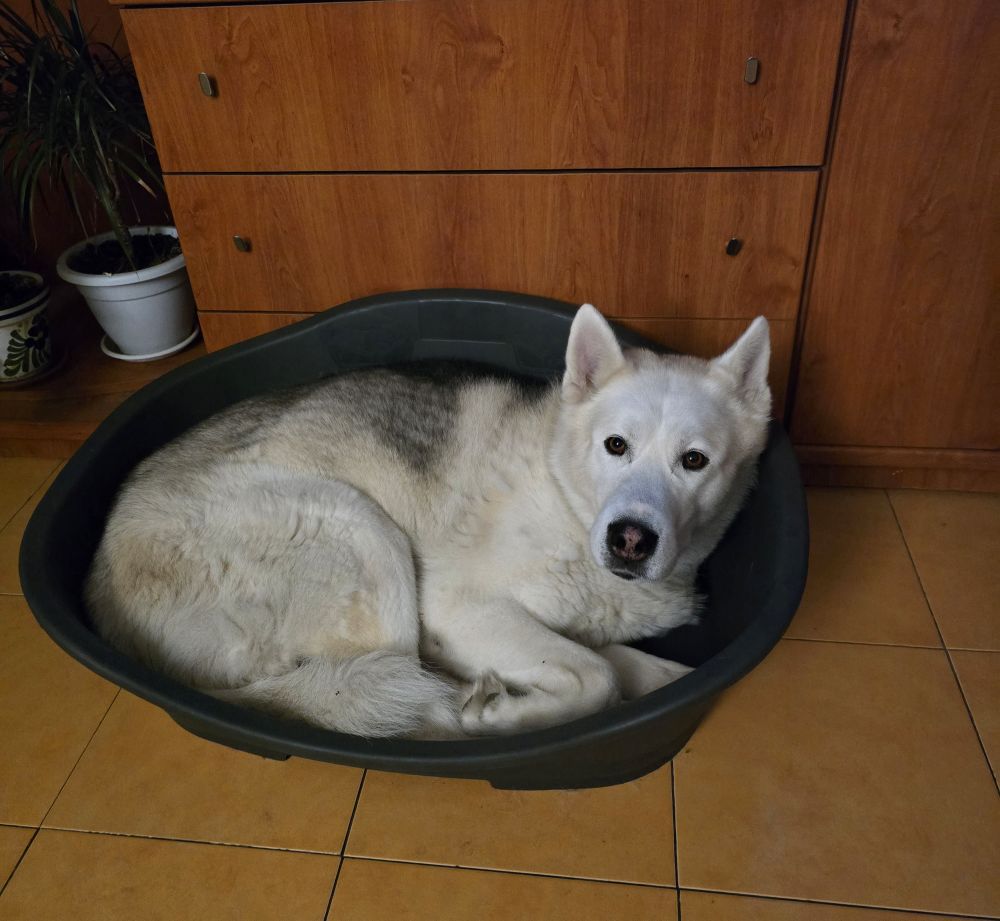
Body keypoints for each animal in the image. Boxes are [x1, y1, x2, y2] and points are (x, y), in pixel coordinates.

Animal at [86, 305, 771, 738]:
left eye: (694, 460)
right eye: (615, 446)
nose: (631, 540)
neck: (567, 497)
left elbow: (631, 666)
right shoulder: (461, 607)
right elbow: (598, 675)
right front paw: (504, 716)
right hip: (363, 532)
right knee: (402, 710)